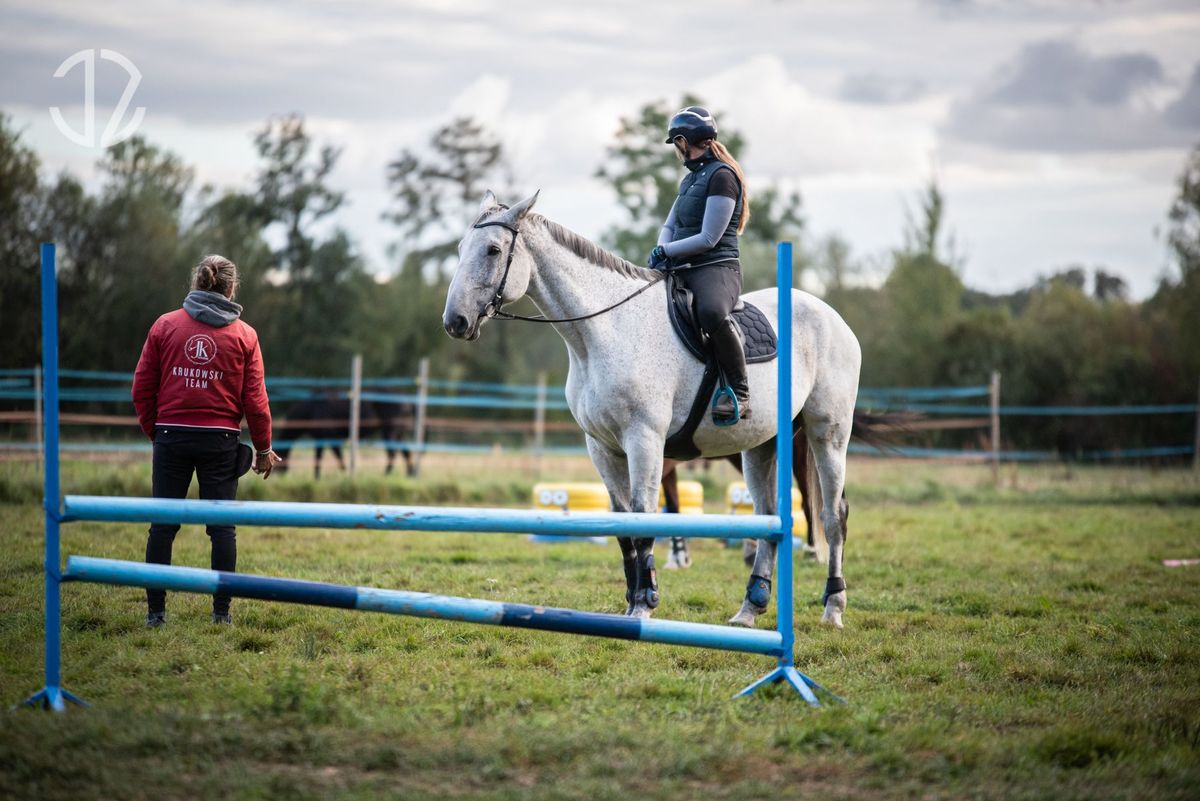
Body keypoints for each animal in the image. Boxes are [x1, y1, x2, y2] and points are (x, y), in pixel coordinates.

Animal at [276, 393, 417, 479]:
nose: (279, 474)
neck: (312, 409)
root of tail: (407, 403)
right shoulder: (324, 438)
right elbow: (326, 457)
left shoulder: (328, 436)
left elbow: (331, 457)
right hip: (399, 433)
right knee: (405, 452)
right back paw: (410, 474)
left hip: (389, 431)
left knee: (392, 453)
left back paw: (386, 475)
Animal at [446, 190, 859, 628]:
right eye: (460, 249)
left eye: (492, 250)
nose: (455, 321)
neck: (604, 332)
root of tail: (831, 315)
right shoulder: (602, 448)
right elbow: (623, 524)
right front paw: (632, 602)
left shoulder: (643, 441)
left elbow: (645, 519)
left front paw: (646, 602)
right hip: (761, 444)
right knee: (769, 516)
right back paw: (750, 607)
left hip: (827, 434)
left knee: (833, 516)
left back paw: (833, 607)